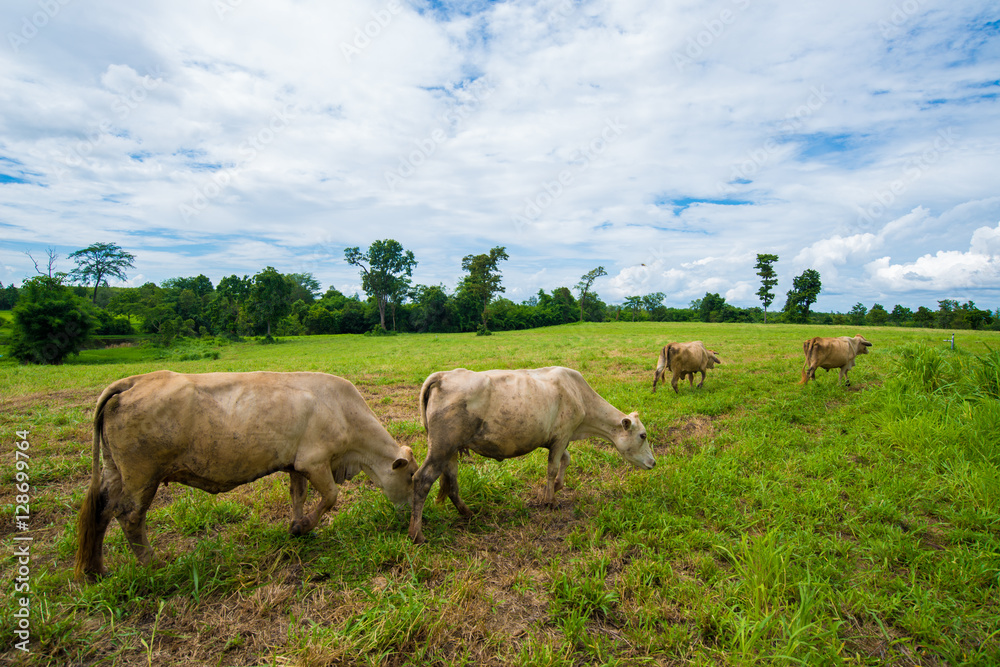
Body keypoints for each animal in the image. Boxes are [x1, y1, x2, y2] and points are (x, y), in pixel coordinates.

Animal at [75, 370, 418, 580]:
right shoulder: (315, 462)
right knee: (130, 516)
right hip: (142, 475)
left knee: (102, 511)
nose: (411, 513)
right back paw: (154, 565)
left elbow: (298, 496)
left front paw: (297, 526)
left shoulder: (296, 465)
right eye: (412, 477)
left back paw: (96, 571)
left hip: (115, 472)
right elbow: (331, 496)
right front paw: (305, 525)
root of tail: (134, 381)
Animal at [406, 368, 656, 544]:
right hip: (441, 447)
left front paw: (556, 487)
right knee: (422, 480)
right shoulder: (562, 435)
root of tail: (443, 375)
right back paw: (416, 534)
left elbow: (565, 460)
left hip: (450, 449)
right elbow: (552, 468)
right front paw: (550, 500)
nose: (653, 462)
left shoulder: (558, 438)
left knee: (452, 481)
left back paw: (468, 513)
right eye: (643, 435)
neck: (579, 394)